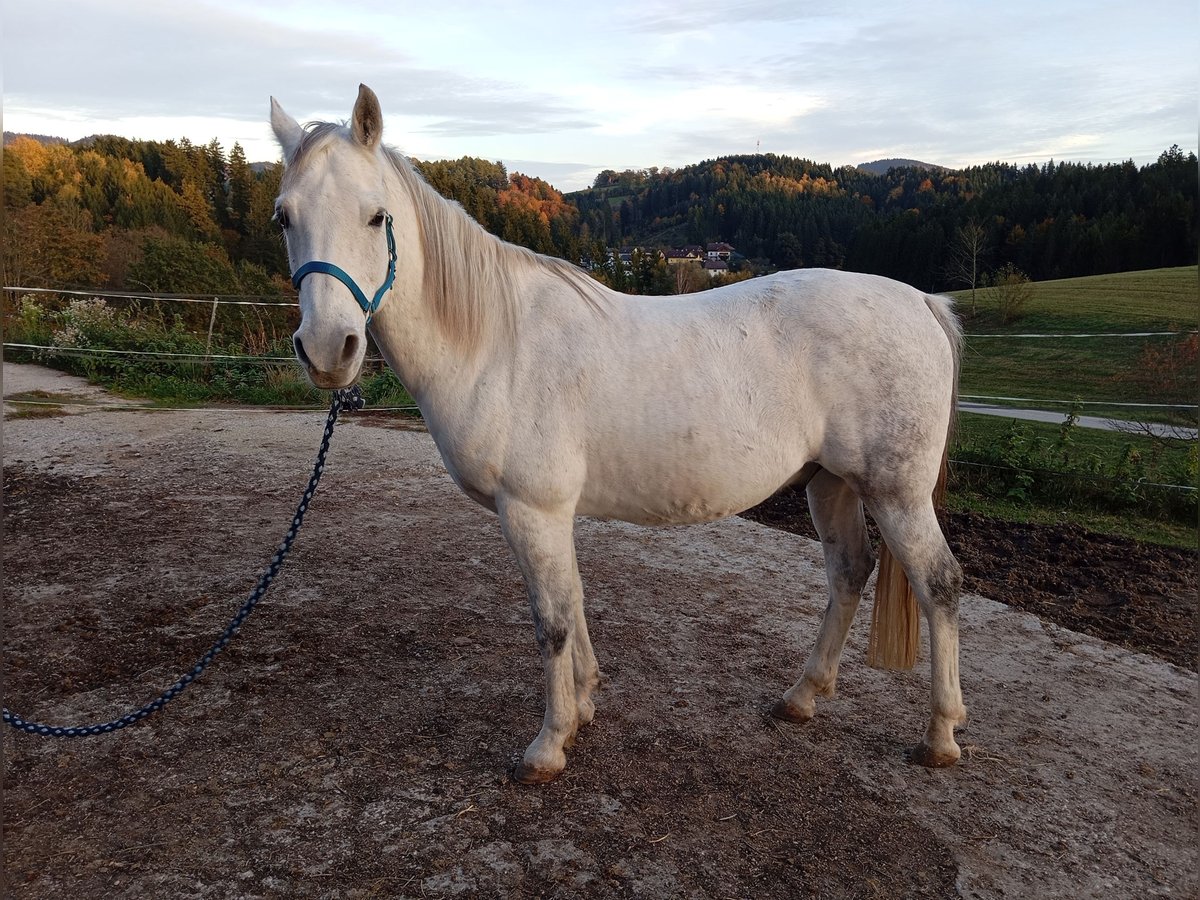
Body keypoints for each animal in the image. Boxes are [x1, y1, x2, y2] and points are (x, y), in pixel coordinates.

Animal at [270, 85, 967, 784]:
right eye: (283, 218)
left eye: (375, 216)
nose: (328, 349)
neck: (498, 342)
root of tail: (921, 302)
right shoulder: (553, 516)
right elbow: (575, 603)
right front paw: (583, 704)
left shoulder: (532, 510)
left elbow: (551, 621)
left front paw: (548, 745)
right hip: (831, 484)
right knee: (849, 571)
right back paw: (802, 696)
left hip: (896, 494)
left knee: (939, 585)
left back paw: (940, 735)